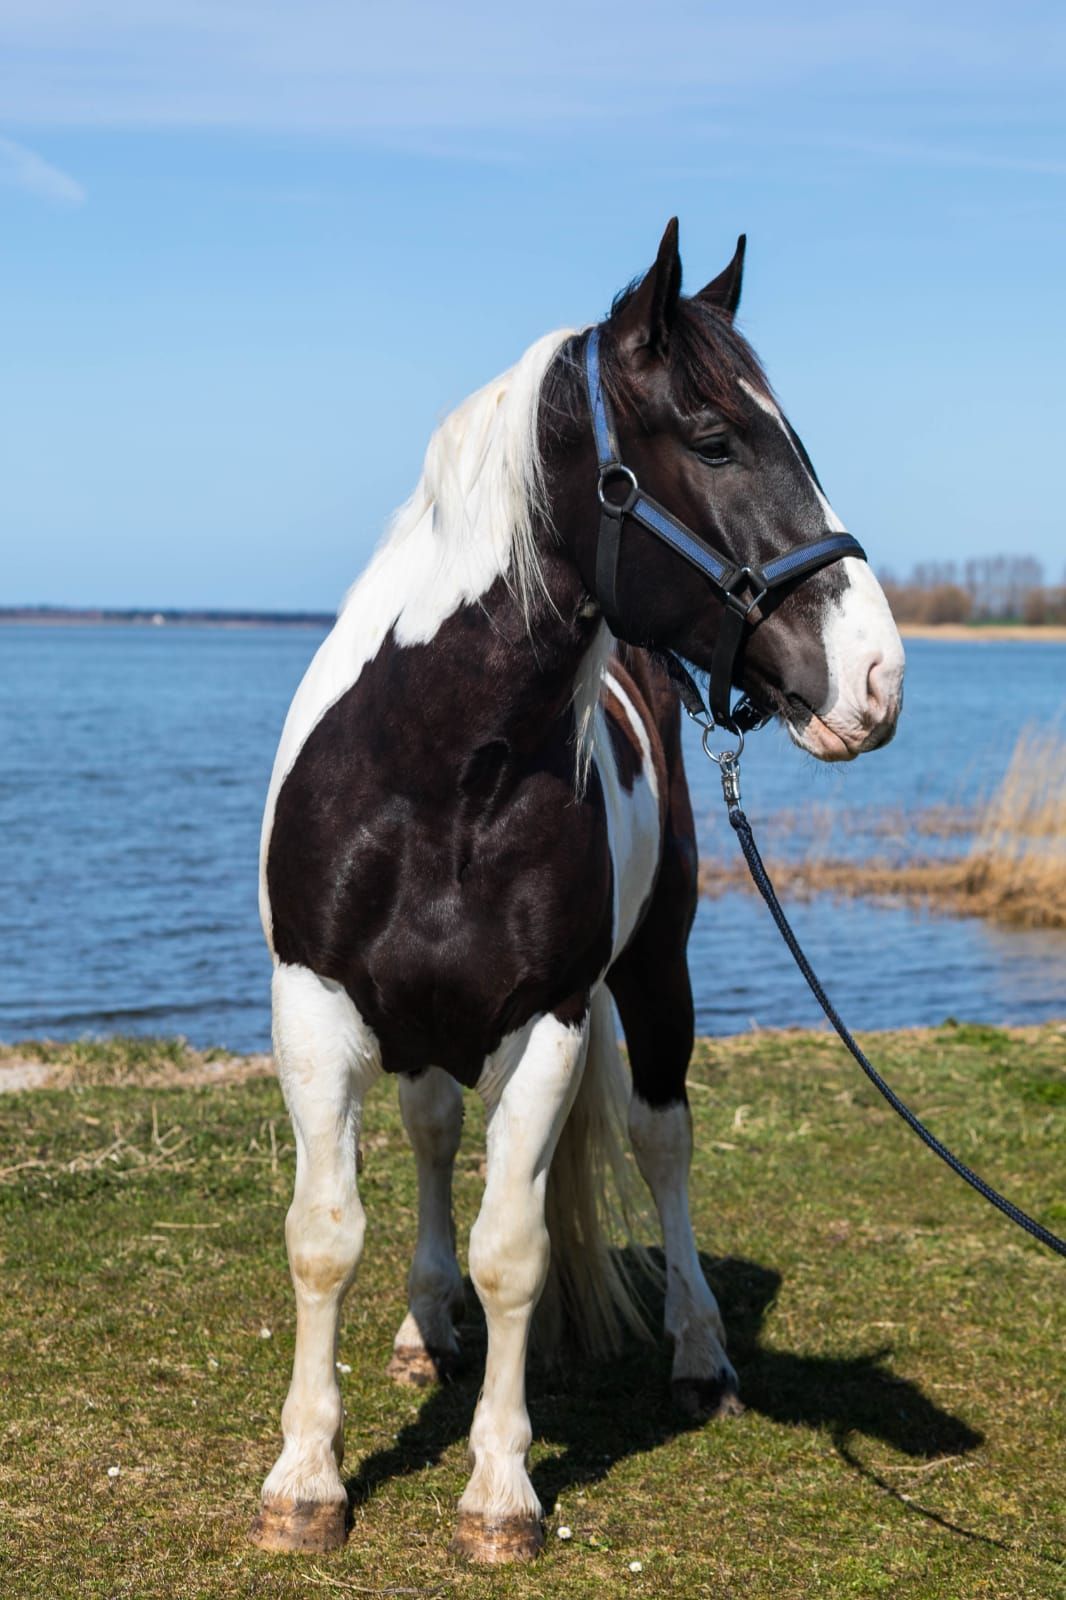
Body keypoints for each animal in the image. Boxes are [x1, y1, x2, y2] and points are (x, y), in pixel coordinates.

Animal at [252, 220, 905, 1563]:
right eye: (714, 440)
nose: (877, 677)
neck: (437, 770)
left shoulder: (550, 1018)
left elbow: (515, 1249)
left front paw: (500, 1490)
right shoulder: (315, 1004)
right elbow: (325, 1234)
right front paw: (305, 1478)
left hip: (653, 973)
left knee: (660, 1139)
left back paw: (699, 1352)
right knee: (433, 1133)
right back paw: (422, 1327)